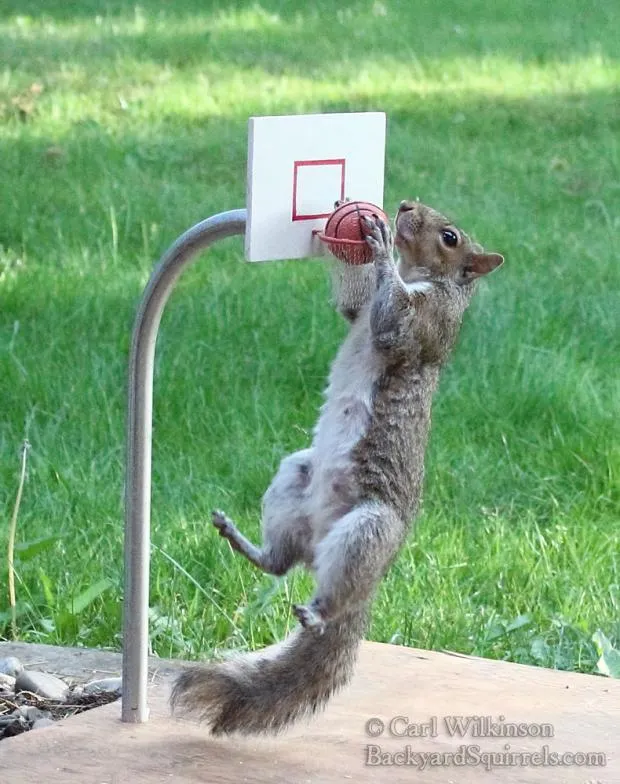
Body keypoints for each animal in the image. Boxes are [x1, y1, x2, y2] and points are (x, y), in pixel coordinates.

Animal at [171, 201, 504, 734]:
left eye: (450, 237)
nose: (405, 206)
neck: (423, 277)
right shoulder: (360, 312)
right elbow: (352, 307)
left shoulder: (422, 326)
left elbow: (392, 325)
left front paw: (380, 241)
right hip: (295, 477)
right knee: (281, 561)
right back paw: (245, 542)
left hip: (367, 527)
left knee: (332, 593)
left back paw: (318, 612)